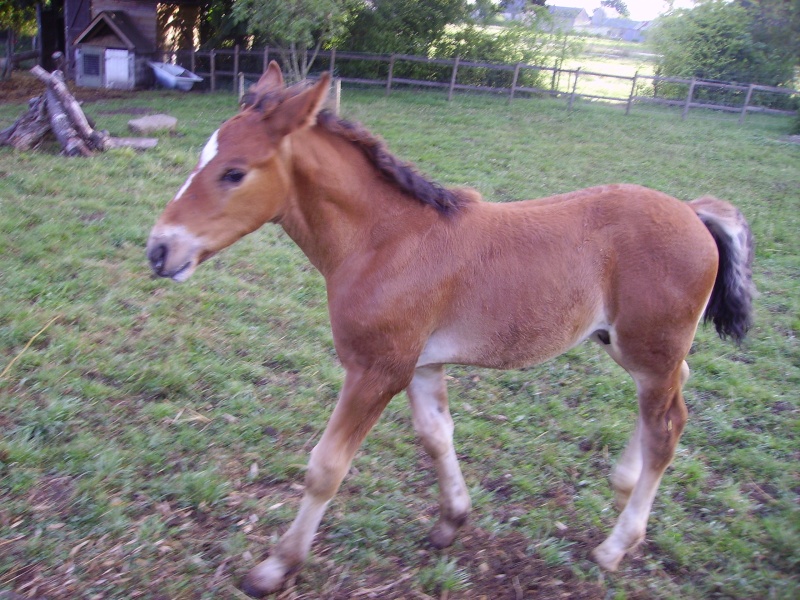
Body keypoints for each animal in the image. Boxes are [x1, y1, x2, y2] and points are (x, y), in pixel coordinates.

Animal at [147, 62, 752, 596]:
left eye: (234, 172)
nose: (159, 250)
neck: (386, 240)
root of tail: (694, 212)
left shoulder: (377, 370)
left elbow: (326, 468)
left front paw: (275, 568)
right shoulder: (421, 364)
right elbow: (437, 436)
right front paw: (451, 521)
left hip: (649, 348)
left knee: (666, 427)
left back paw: (615, 545)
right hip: (635, 348)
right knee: (675, 392)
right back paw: (624, 482)